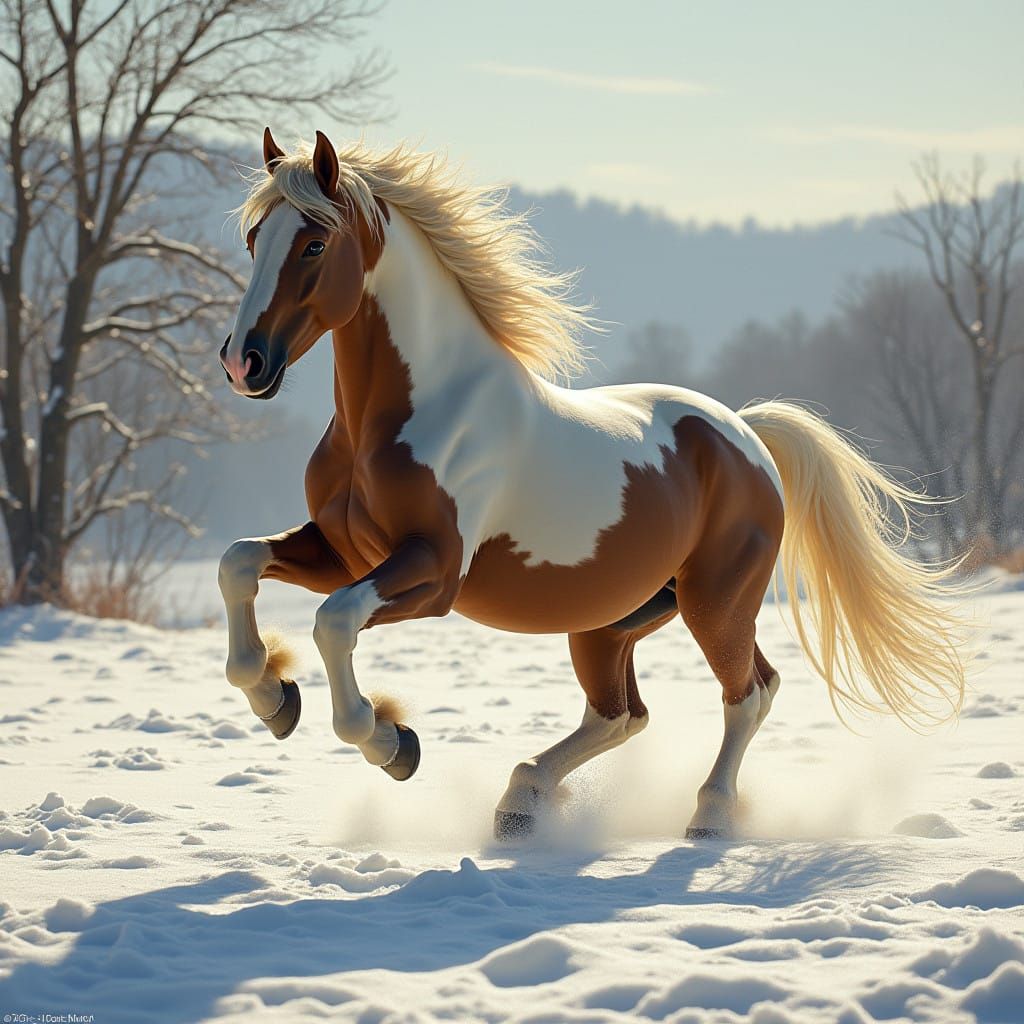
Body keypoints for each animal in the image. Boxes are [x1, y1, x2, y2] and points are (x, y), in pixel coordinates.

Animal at [216, 128, 965, 841]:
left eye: (314, 244)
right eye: (255, 240)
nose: (243, 363)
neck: (420, 410)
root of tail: (744, 434)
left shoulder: (434, 572)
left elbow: (333, 621)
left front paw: (391, 741)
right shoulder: (344, 552)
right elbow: (239, 563)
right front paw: (274, 698)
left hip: (716, 600)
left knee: (745, 693)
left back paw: (709, 816)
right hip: (613, 619)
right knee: (623, 715)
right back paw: (521, 803)